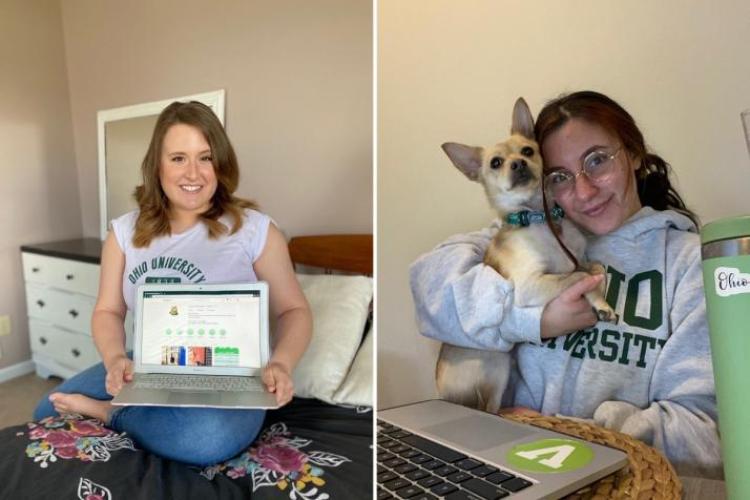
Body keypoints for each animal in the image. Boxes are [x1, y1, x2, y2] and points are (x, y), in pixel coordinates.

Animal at [434, 97, 616, 414]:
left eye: (528, 151)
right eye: (495, 163)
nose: (518, 163)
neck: (540, 218)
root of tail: (441, 392)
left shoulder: (579, 258)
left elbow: (595, 268)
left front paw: (601, 303)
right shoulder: (531, 285)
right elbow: (577, 276)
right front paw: (593, 295)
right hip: (497, 365)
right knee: (489, 407)